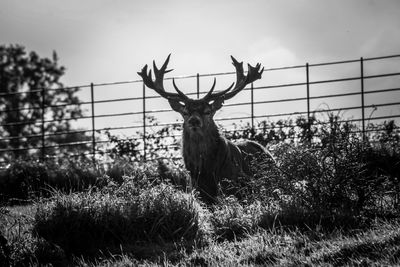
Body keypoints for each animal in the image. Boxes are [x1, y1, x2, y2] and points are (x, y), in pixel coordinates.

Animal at [139, 55, 274, 204]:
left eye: (208, 111)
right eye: (185, 112)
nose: (194, 121)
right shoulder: (196, 188)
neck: (205, 170)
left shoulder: (234, 184)